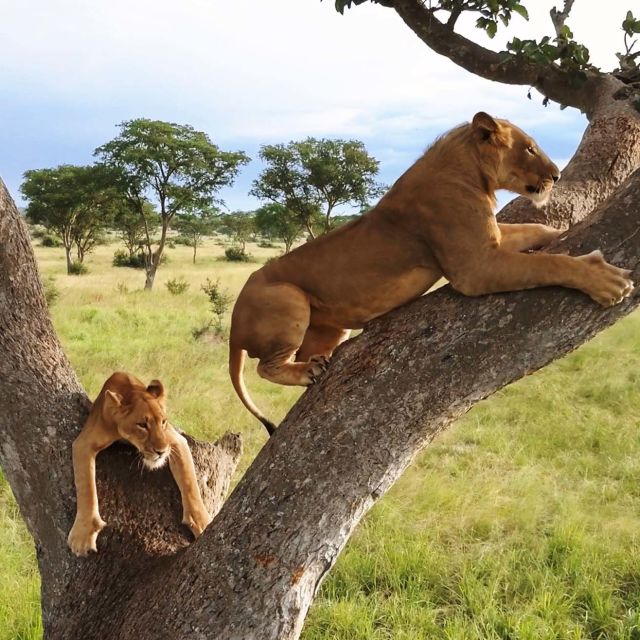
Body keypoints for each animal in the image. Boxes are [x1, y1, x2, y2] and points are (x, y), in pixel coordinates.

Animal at [67, 372, 211, 556]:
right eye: (142, 425)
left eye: (163, 422)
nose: (161, 451)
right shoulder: (84, 443)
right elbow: (86, 488)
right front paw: (82, 536)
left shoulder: (174, 440)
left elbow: (190, 484)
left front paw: (202, 523)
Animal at [229, 112, 634, 434]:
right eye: (530, 148)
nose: (557, 175)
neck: (473, 172)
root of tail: (234, 325)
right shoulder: (475, 267)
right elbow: (549, 263)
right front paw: (605, 281)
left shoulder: (490, 243)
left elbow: (536, 230)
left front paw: (560, 231)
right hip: (285, 295)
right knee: (266, 367)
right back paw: (305, 371)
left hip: (327, 327)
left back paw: (315, 365)